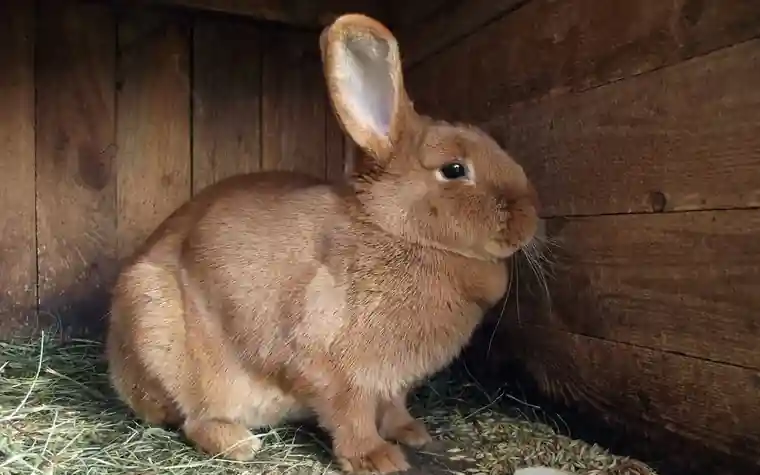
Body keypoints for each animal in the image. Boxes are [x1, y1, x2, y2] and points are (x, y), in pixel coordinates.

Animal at [105, 12, 539, 475]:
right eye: (454, 169)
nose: (529, 217)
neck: (397, 230)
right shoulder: (333, 365)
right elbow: (350, 413)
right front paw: (377, 458)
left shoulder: (392, 381)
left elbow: (393, 407)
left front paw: (412, 433)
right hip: (162, 337)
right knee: (193, 418)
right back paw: (239, 443)